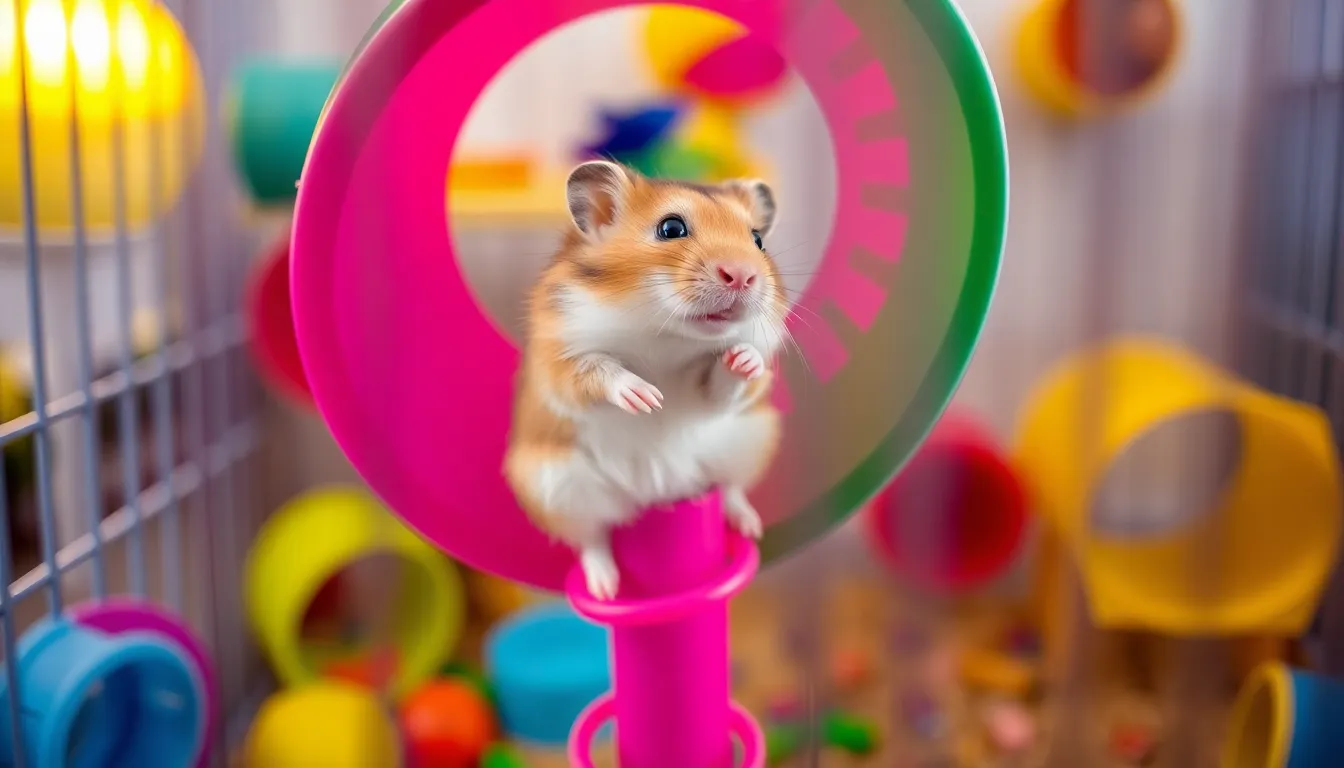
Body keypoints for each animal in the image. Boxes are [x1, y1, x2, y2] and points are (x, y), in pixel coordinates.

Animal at [503, 161, 789, 600]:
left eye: (757, 239)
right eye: (671, 228)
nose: (743, 275)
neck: (663, 331)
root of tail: (659, 491)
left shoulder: (710, 394)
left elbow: (724, 383)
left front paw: (744, 358)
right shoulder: (560, 362)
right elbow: (601, 370)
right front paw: (647, 398)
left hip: (748, 441)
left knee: (730, 490)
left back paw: (749, 526)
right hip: (557, 487)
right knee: (593, 538)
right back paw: (605, 588)